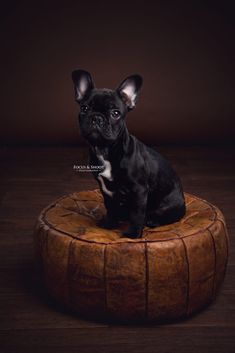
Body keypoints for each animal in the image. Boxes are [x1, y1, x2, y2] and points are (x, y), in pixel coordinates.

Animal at [71, 70, 185, 238]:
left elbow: (137, 214)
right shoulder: (105, 190)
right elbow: (110, 207)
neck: (105, 150)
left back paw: (153, 220)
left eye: (115, 113)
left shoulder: (139, 191)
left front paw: (133, 234)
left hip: (170, 206)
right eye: (84, 108)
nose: (97, 117)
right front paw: (109, 224)